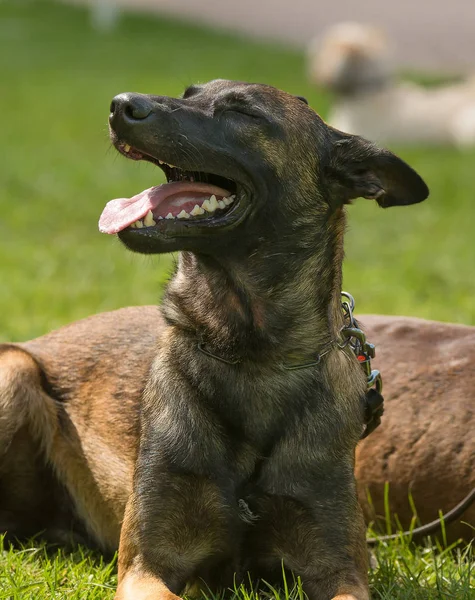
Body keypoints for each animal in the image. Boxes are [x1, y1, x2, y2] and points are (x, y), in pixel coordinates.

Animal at [0, 81, 432, 600]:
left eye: (243, 113)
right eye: (189, 93)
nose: (120, 105)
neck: (251, 354)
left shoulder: (339, 570)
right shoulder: (148, 566)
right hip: (15, 372)